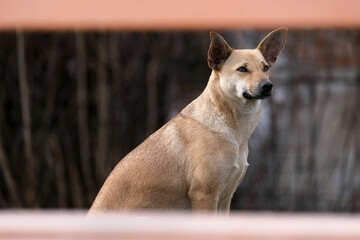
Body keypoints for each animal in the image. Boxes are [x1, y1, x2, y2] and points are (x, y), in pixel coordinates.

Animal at [89, 28, 286, 214]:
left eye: (265, 67)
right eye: (242, 69)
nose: (267, 86)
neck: (232, 128)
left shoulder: (225, 197)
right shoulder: (204, 194)